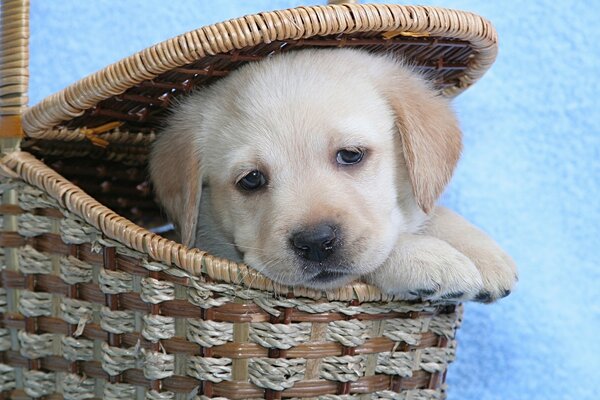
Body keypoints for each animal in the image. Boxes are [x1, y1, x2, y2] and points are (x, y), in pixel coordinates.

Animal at [149, 48, 516, 302]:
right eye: (251, 179)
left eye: (350, 155)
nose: (315, 242)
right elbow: (382, 250)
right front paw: (426, 257)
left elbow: (425, 213)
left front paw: (482, 252)